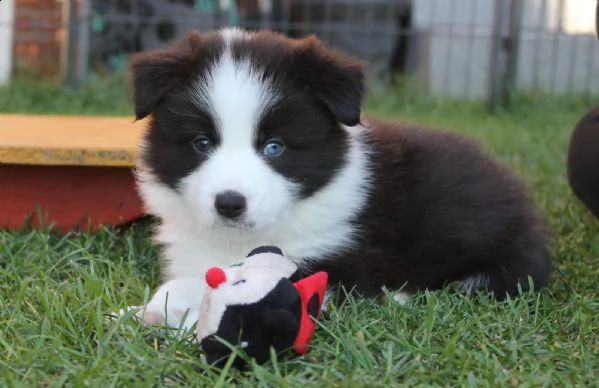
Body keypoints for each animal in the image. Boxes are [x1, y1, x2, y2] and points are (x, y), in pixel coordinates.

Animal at [130, 28, 552, 328]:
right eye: (201, 143)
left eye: (274, 147)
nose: (230, 203)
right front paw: (138, 312)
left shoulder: (333, 259)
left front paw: (175, 306)